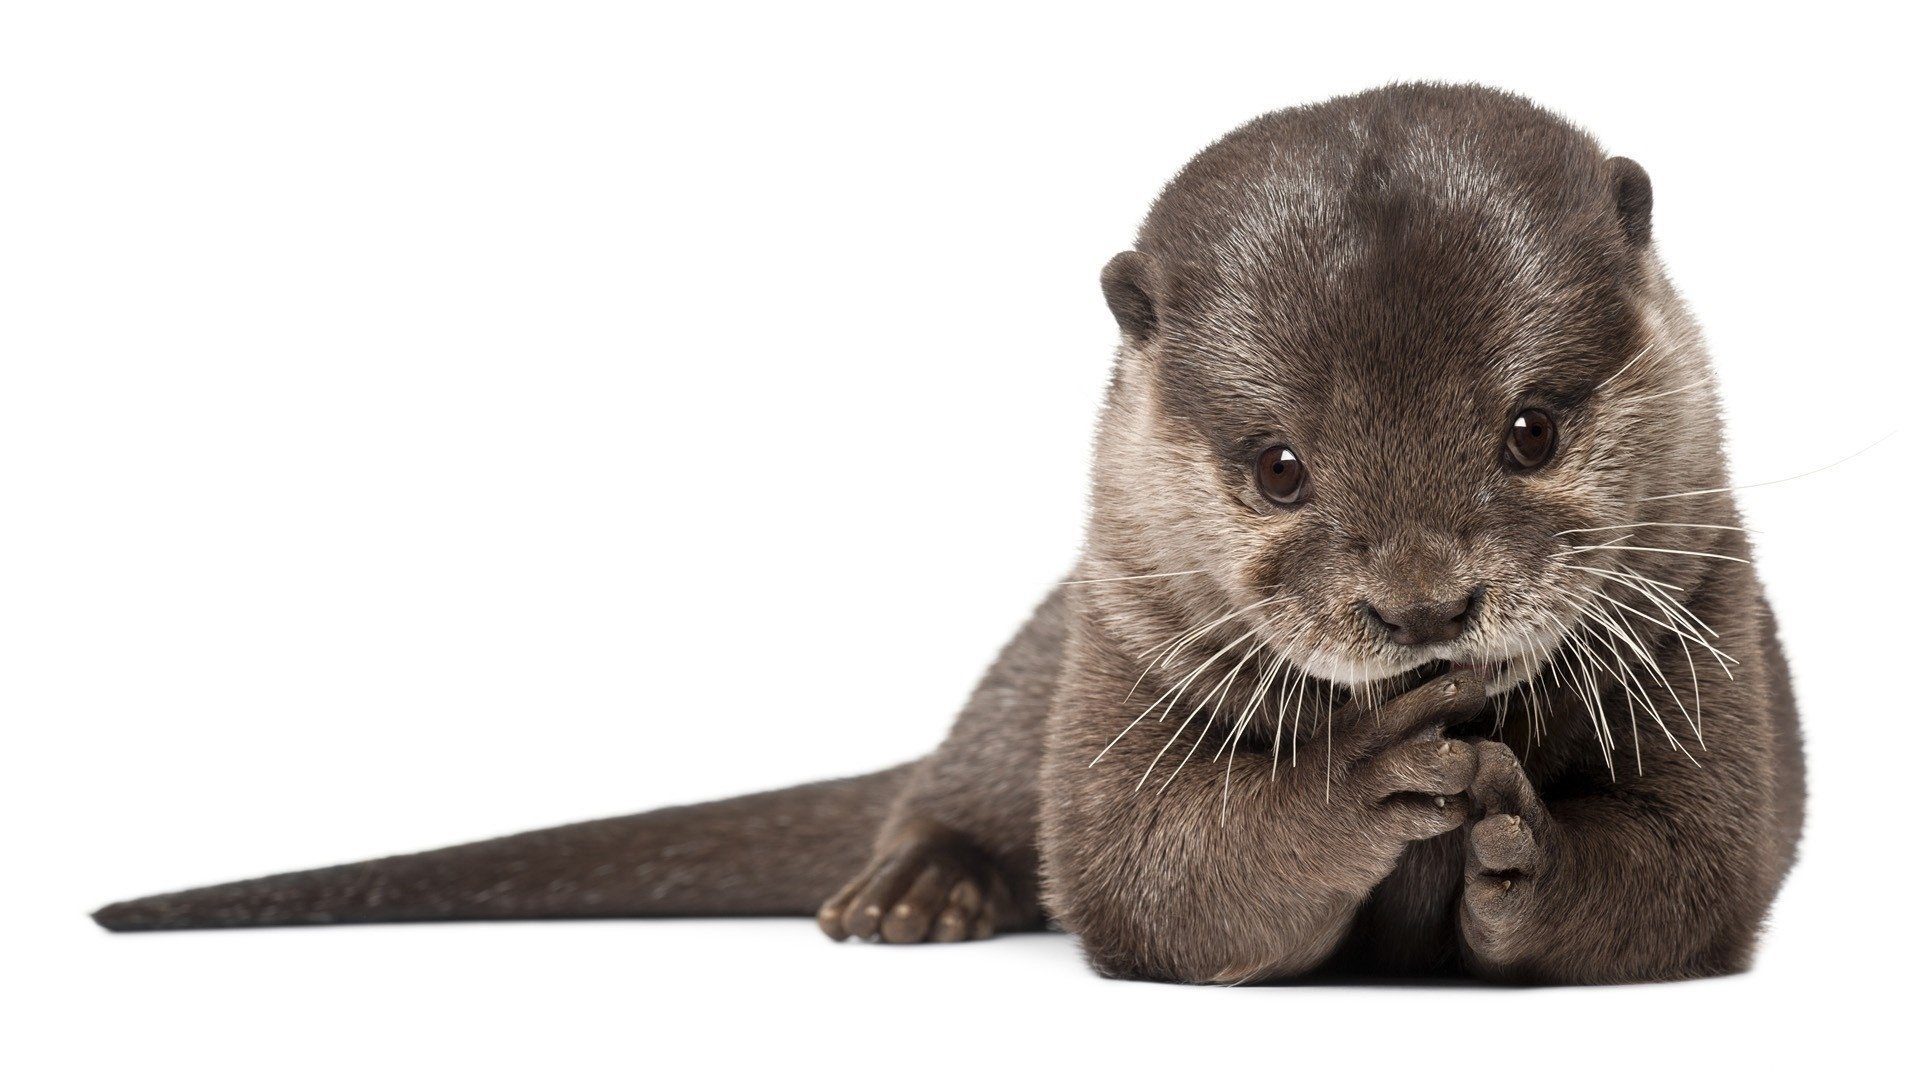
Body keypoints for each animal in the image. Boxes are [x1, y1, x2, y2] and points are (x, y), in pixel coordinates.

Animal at [93, 83, 1804, 985]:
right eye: (1277, 467)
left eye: (1532, 429)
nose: (1424, 608)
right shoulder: (1118, 653)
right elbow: (1146, 876)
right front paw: (1370, 775)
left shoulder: (1713, 625)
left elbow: (1699, 868)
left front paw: (1526, 835)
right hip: (1033, 671)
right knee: (951, 789)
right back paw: (910, 895)